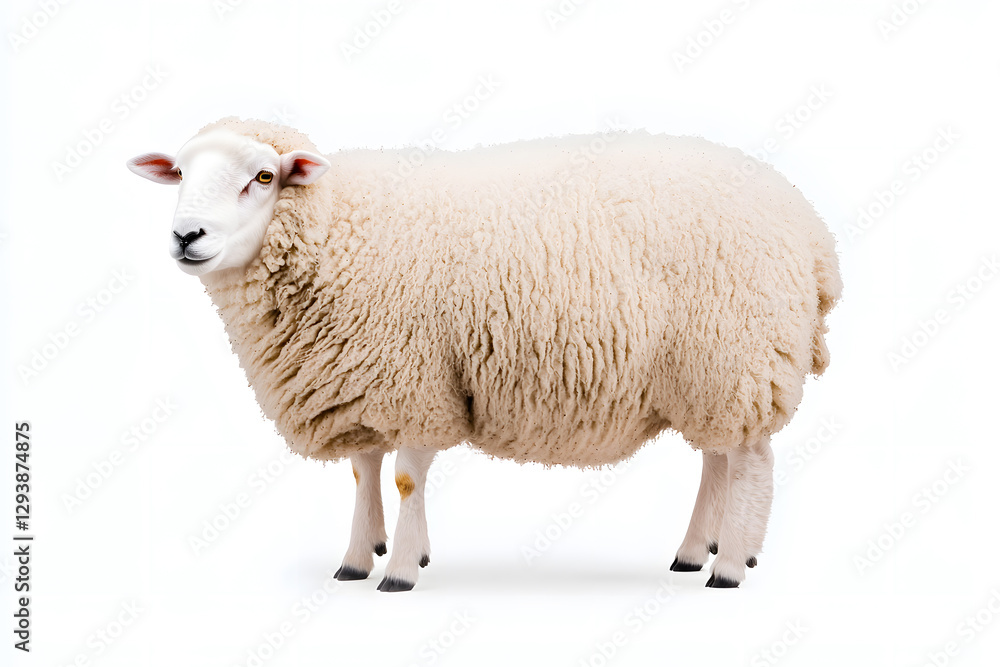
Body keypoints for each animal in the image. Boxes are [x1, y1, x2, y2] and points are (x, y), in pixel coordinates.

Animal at [127, 116, 841, 592]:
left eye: (263, 176)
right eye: (181, 173)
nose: (186, 235)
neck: (336, 232)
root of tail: (811, 232)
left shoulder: (412, 380)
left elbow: (406, 478)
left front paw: (401, 569)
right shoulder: (357, 379)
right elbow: (363, 472)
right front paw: (359, 557)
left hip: (739, 354)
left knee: (750, 463)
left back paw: (729, 566)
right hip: (710, 371)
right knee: (720, 458)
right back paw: (697, 550)